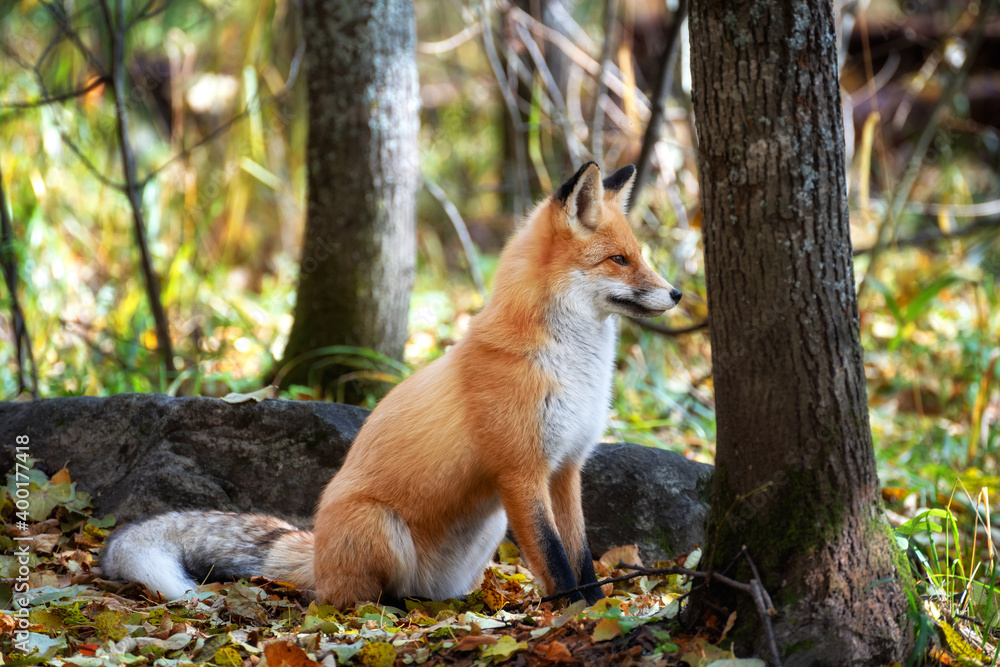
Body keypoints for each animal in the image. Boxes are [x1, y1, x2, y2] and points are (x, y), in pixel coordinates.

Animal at [102, 161, 682, 608]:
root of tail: (317, 553)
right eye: (619, 260)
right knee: (347, 599)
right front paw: (572, 616)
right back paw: (389, 608)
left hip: (486, 531)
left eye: (641, 256)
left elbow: (581, 557)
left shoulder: (565, 469)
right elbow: (556, 562)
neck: (572, 367)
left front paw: (599, 611)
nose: (677, 293)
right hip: (380, 526)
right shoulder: (521, 471)